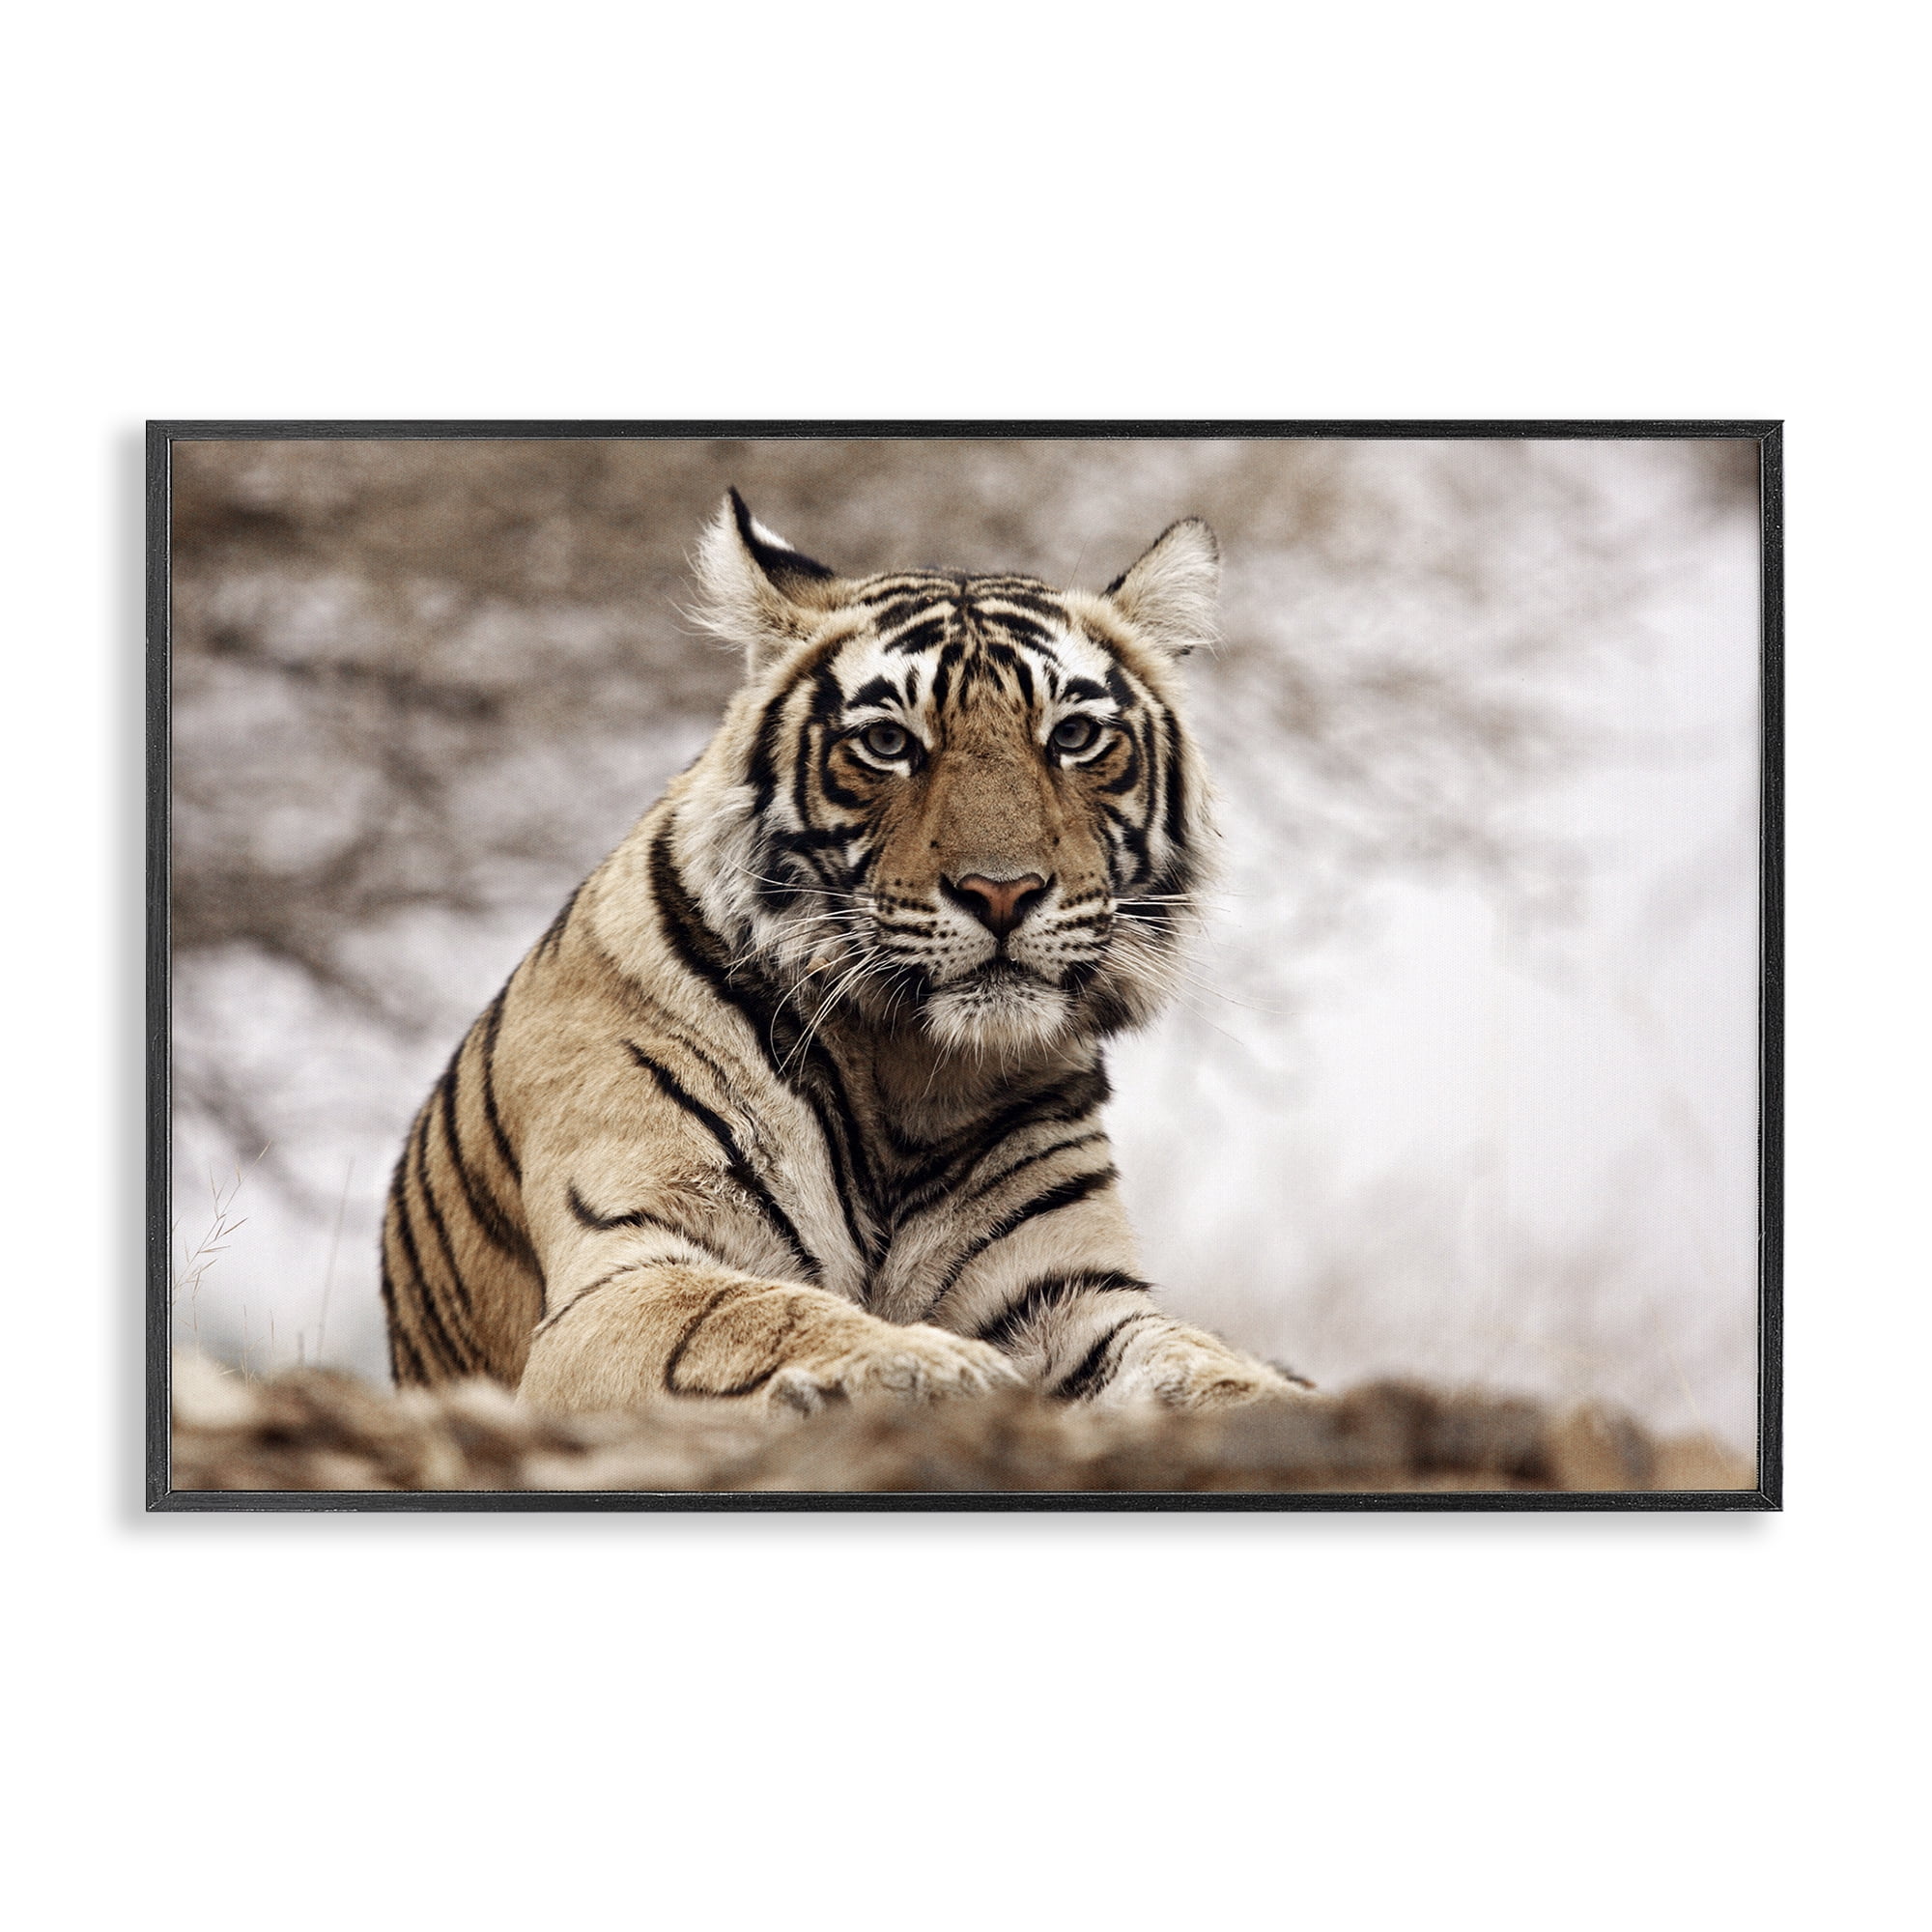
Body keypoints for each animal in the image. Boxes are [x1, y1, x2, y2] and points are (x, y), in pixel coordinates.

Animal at [381, 490, 1300, 1418]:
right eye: (888, 744)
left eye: (1073, 736)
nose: (1002, 892)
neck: (914, 1076)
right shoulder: (624, 1272)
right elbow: (759, 1315)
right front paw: (937, 1367)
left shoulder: (1070, 1292)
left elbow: (1197, 1362)